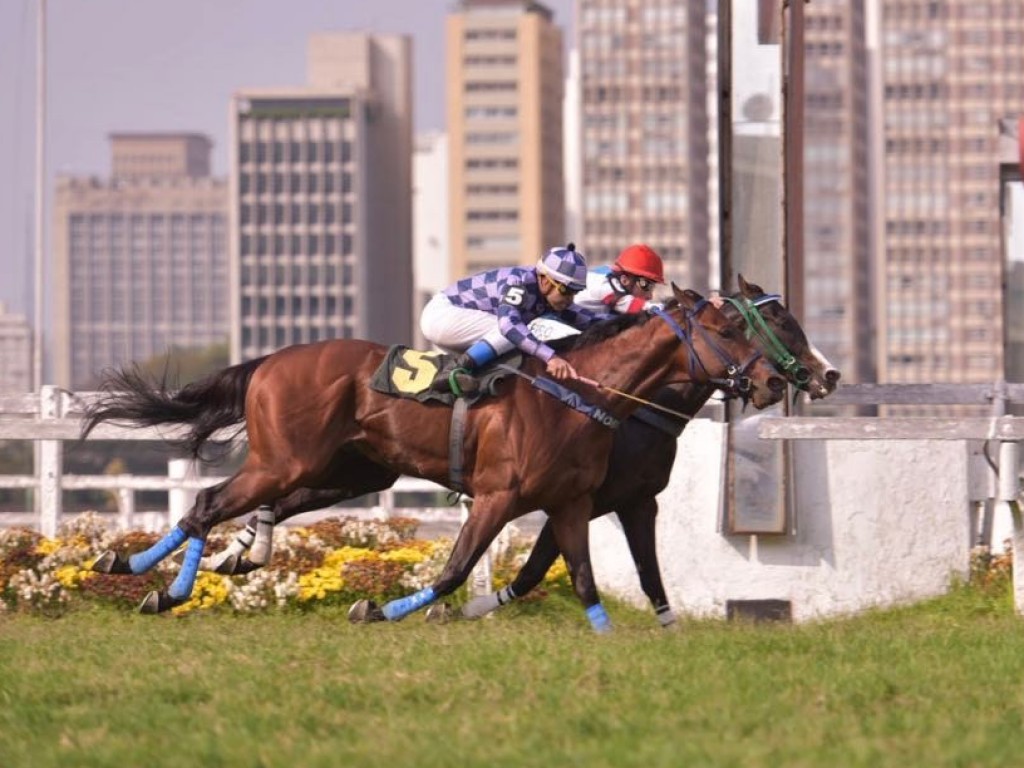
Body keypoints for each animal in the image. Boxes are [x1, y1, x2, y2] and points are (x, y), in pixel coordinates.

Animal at [83, 286, 782, 634]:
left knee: (263, 508)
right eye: (729, 330)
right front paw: (377, 609)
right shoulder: (499, 497)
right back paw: (151, 580)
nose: (776, 382)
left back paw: (195, 563)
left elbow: (579, 578)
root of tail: (270, 360)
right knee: (206, 505)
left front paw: (609, 641)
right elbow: (453, 572)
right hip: (285, 460)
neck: (580, 394)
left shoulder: (572, 502)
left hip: (352, 470)